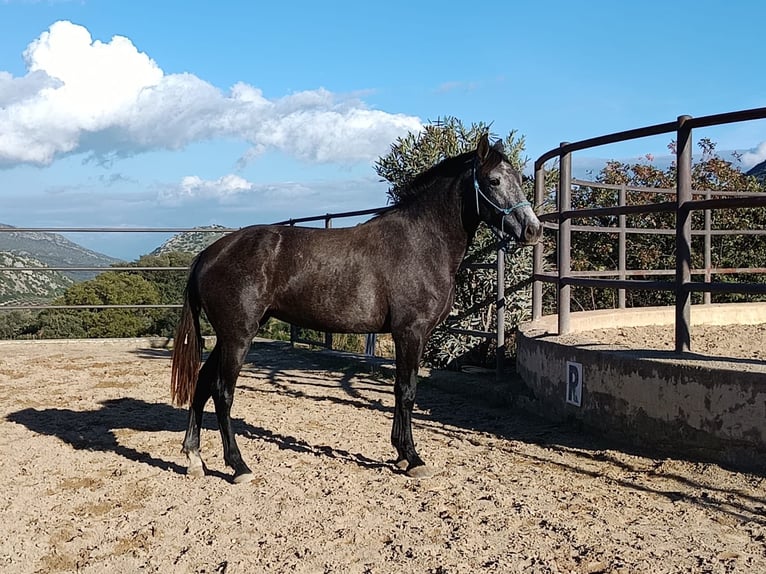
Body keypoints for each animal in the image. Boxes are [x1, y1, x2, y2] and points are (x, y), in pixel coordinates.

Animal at [172, 136, 544, 486]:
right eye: (494, 180)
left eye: (519, 179)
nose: (533, 230)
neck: (421, 242)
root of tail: (209, 253)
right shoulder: (410, 332)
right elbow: (407, 390)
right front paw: (413, 458)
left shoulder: (411, 335)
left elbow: (401, 389)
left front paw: (401, 454)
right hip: (238, 336)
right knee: (222, 392)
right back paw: (238, 466)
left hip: (231, 335)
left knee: (202, 384)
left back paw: (194, 459)